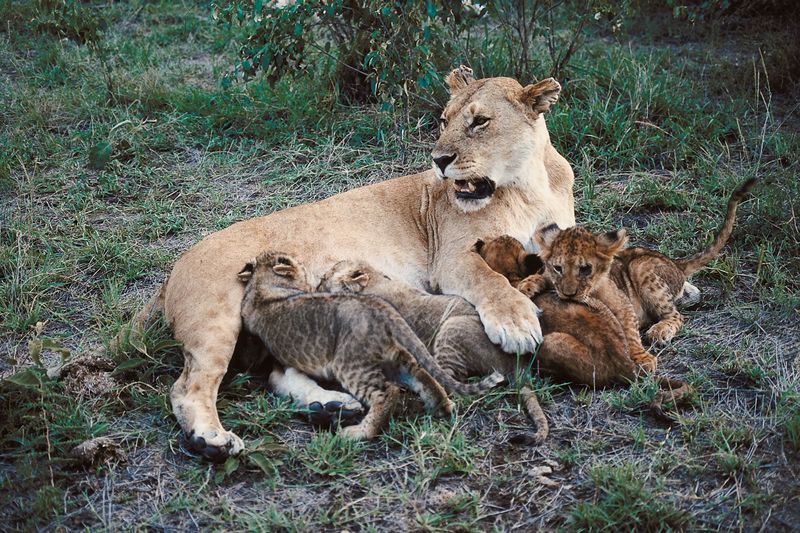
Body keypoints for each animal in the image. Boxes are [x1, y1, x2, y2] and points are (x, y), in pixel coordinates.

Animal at [127, 66, 575, 460]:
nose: (439, 160)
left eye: (479, 122)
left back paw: (329, 407)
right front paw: (516, 322)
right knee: (188, 386)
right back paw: (212, 440)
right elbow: (488, 279)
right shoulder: (450, 259)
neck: (526, 187)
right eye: (444, 121)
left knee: (276, 372)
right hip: (217, 317)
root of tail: (174, 267)